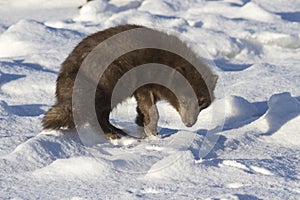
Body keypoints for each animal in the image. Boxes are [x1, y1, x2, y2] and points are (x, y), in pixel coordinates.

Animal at [42, 23, 217, 139]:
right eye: (184, 100)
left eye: (201, 103)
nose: (190, 124)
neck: (165, 63)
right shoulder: (143, 85)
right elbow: (153, 111)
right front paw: (152, 133)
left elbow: (143, 110)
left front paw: (143, 125)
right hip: (109, 82)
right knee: (94, 115)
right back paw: (111, 133)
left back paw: (118, 131)